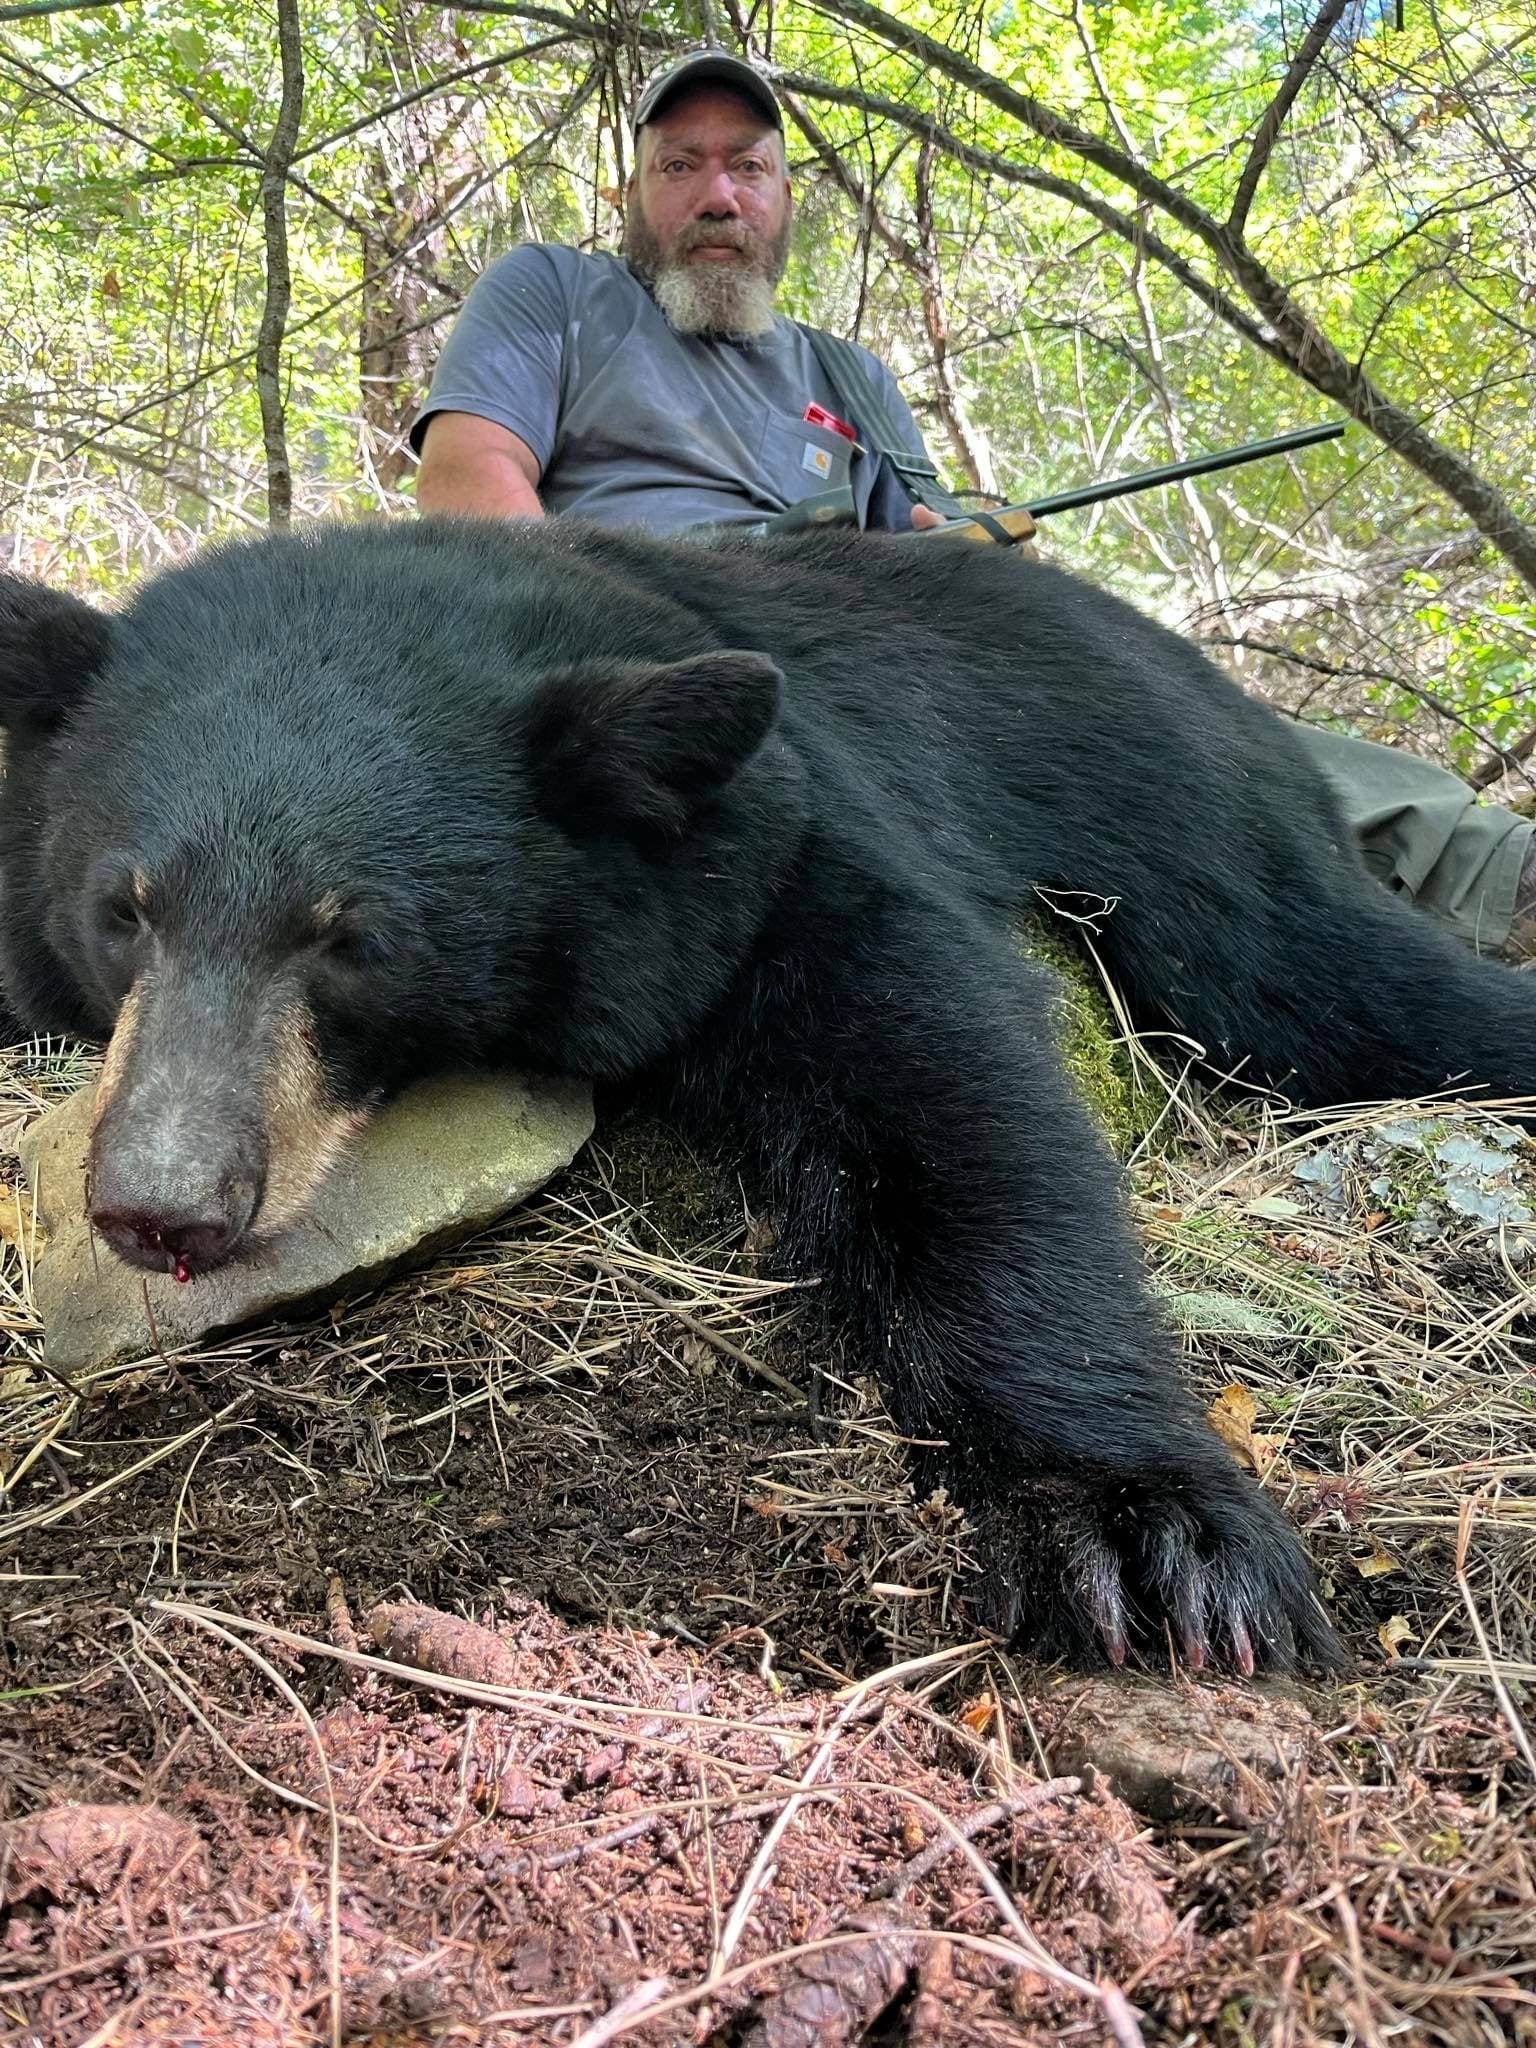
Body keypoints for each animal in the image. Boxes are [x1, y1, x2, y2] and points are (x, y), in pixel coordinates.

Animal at [3, 519, 1532, 1676]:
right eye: (125, 909)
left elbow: (954, 1095)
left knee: (1338, 982)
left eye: (350, 937)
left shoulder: (780, 841)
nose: (160, 1203)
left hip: (1184, 815)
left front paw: (1149, 1531)